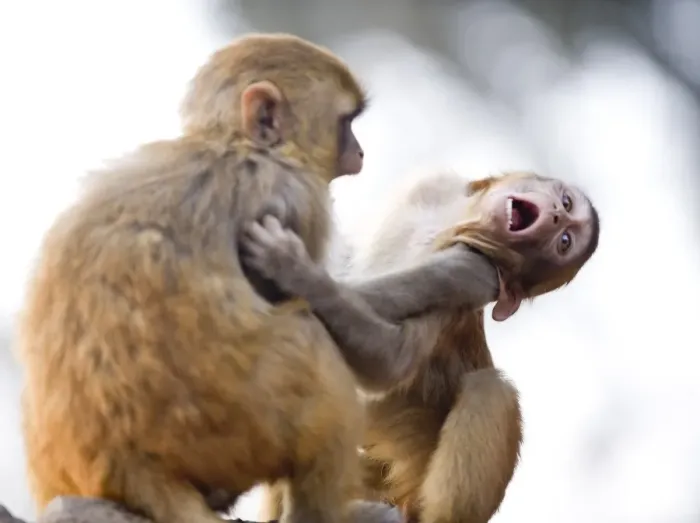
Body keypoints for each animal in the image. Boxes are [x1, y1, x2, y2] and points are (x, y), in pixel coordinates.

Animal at [14, 32, 405, 523]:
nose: (360, 152)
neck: (234, 145)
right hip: (245, 426)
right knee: (311, 341)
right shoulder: (300, 202)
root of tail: (131, 467)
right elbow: (379, 363)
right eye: (346, 122)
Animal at [243, 170, 601, 523]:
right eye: (565, 203)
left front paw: (291, 268)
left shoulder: (473, 270)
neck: (454, 217)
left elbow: (392, 358)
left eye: (564, 242)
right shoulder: (431, 186)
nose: (556, 215)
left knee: (492, 387)